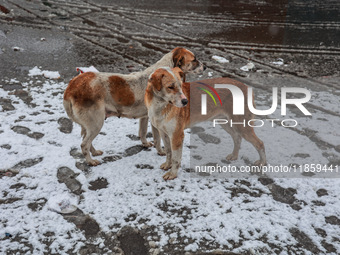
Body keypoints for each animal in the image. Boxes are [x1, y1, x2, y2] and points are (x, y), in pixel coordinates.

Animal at [63, 47, 203, 165]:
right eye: (194, 59)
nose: (205, 67)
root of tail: (72, 86)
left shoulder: (145, 117)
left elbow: (142, 132)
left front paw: (145, 144)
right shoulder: (154, 121)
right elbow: (157, 138)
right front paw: (161, 152)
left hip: (91, 124)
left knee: (86, 140)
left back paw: (94, 152)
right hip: (96, 123)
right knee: (84, 144)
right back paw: (91, 161)